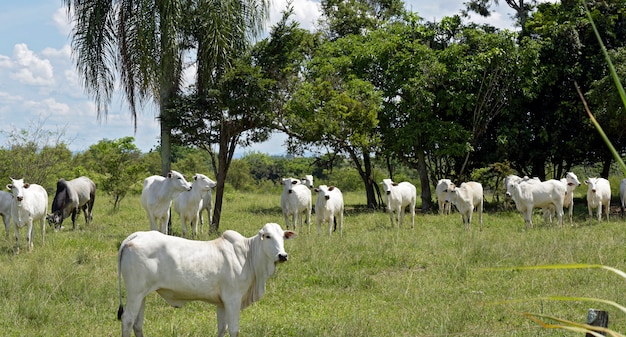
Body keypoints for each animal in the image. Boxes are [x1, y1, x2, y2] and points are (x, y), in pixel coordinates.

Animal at [117, 220, 294, 336]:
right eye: (268, 236)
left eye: (283, 237)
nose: (283, 255)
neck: (247, 255)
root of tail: (136, 236)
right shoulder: (233, 299)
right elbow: (234, 329)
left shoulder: (222, 303)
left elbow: (222, 328)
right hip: (135, 292)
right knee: (127, 320)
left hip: (142, 294)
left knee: (137, 324)